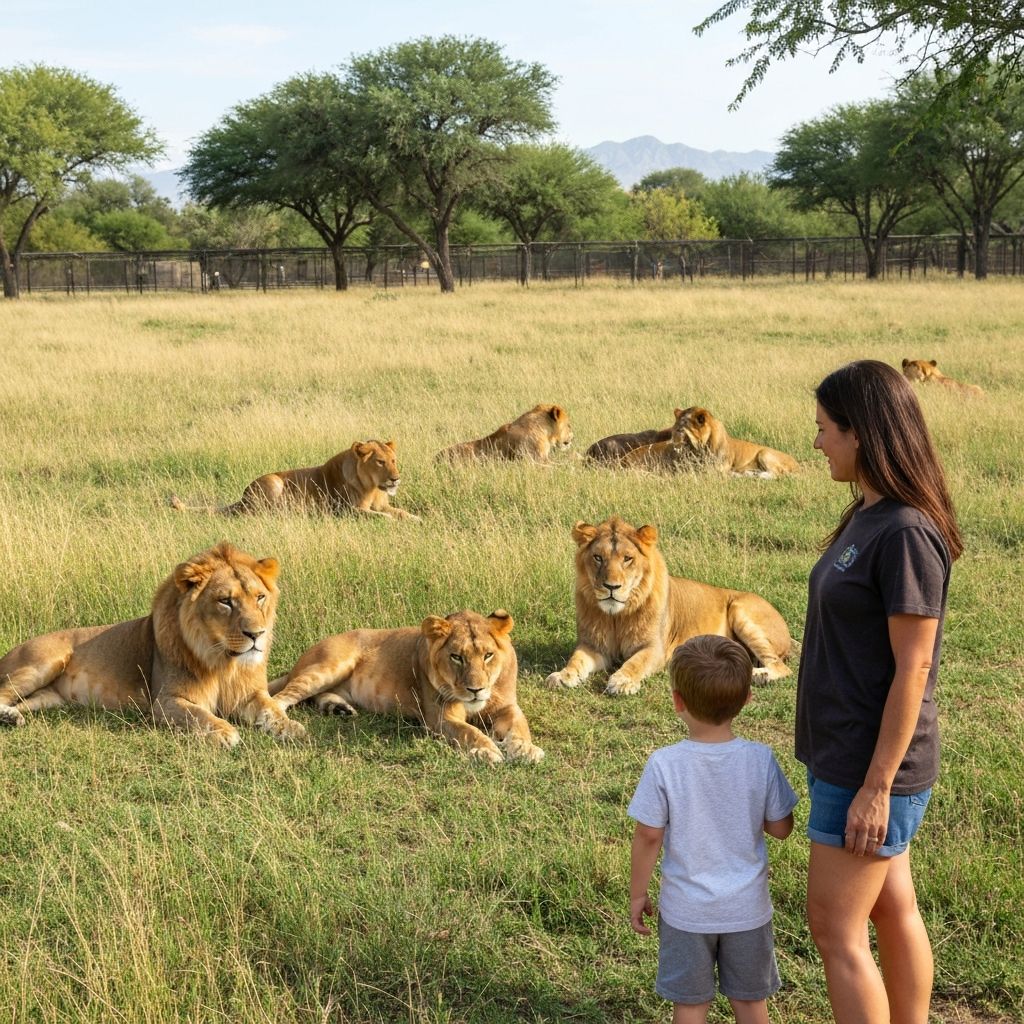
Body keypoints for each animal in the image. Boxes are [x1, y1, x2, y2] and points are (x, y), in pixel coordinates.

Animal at [0, 542, 304, 747]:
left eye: (260, 597)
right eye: (225, 601)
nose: (257, 634)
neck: (223, 662)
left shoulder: (250, 693)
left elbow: (271, 707)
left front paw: (291, 727)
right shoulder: (166, 701)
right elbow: (199, 714)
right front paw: (223, 731)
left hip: (48, 698)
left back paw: (11, 717)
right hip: (44, 662)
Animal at [171, 440, 419, 520]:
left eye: (394, 460)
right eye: (380, 462)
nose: (396, 479)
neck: (374, 487)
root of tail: (242, 497)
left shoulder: (382, 504)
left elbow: (401, 512)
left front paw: (417, 520)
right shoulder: (347, 510)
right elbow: (382, 517)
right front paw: (392, 521)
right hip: (274, 483)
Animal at [271, 610, 543, 764]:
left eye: (488, 655)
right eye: (456, 657)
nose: (475, 690)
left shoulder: (507, 706)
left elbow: (521, 726)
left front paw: (525, 748)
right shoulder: (439, 717)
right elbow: (470, 731)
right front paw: (487, 750)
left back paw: (339, 709)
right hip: (329, 666)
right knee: (281, 698)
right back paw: (284, 725)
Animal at [544, 517, 792, 696]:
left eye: (627, 558)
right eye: (598, 557)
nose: (611, 586)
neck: (616, 616)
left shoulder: (656, 649)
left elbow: (636, 662)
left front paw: (622, 682)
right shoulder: (594, 646)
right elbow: (576, 659)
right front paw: (562, 676)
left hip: (741, 610)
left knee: (782, 667)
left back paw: (759, 675)